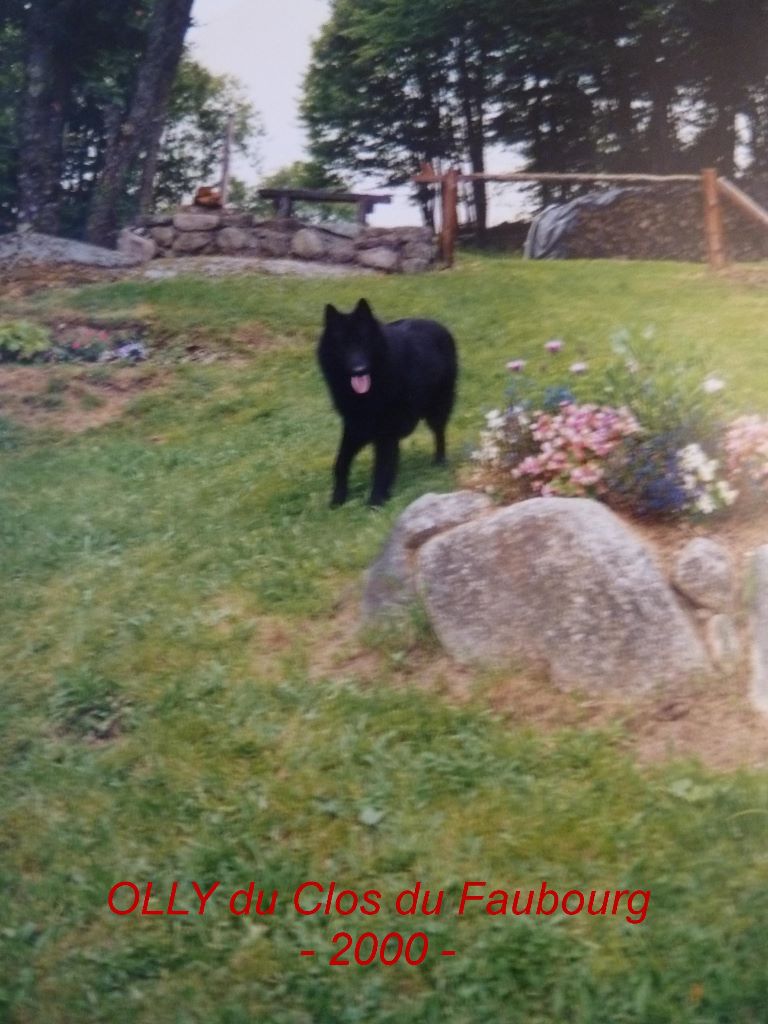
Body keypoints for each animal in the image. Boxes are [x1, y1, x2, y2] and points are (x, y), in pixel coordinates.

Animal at [317, 298, 457, 506]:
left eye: (364, 341)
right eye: (343, 344)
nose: (359, 370)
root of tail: (438, 325)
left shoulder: (384, 432)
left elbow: (381, 467)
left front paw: (376, 500)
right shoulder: (355, 427)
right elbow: (340, 462)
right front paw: (338, 498)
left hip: (437, 408)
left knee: (439, 434)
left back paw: (439, 461)